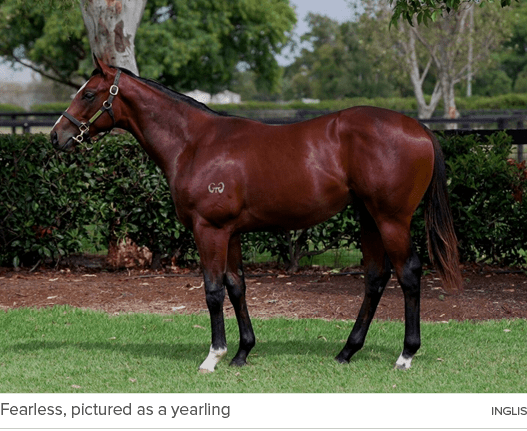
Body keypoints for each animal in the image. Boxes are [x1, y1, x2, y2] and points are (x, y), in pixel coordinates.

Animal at [50, 58, 462, 374]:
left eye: (89, 93)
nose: (56, 136)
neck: (195, 143)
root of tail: (420, 129)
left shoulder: (210, 230)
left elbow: (213, 290)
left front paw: (213, 357)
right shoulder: (230, 232)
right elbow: (236, 286)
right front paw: (242, 352)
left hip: (391, 219)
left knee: (408, 273)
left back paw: (405, 355)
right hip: (368, 218)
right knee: (375, 278)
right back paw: (347, 351)